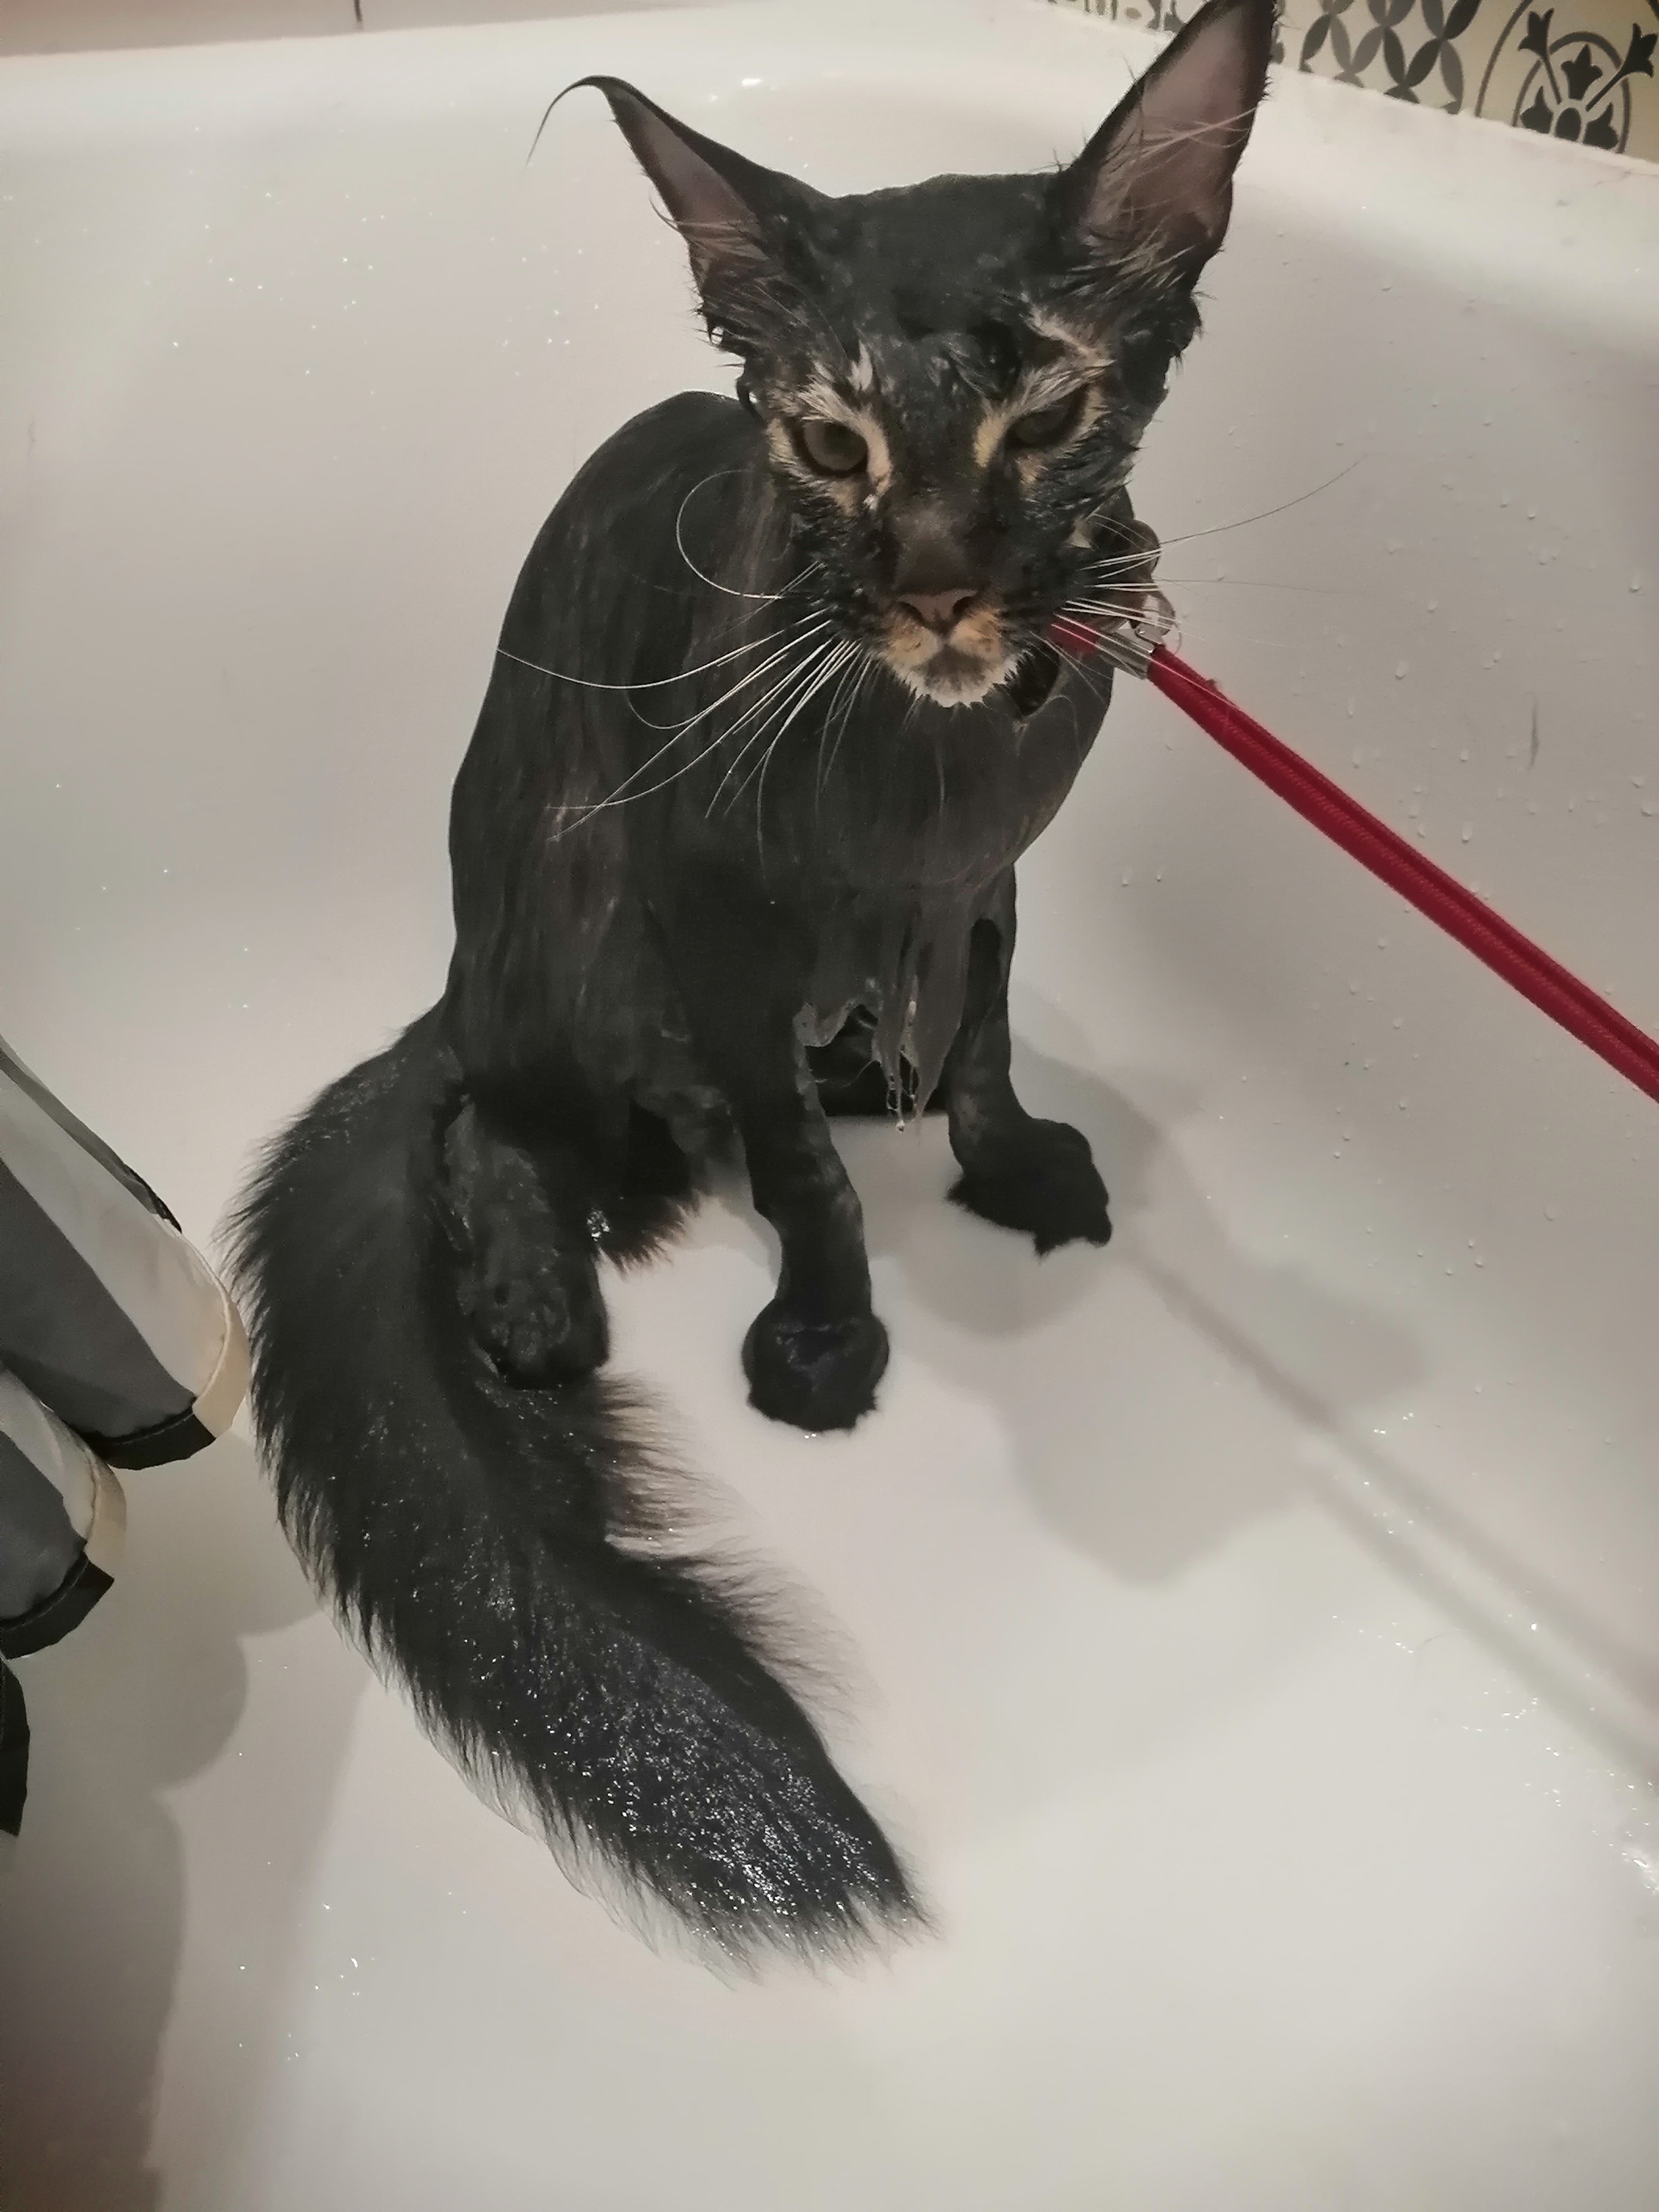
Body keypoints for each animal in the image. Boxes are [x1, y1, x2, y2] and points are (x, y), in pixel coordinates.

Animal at [232, 0, 1274, 1962]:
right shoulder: (715, 904)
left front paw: (999, 1152)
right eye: (830, 442)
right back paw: (535, 1288)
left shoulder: (987, 882)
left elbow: (990, 1034)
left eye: (1047, 417)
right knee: (495, 1114)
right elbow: (800, 1178)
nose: (937, 588)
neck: (939, 764)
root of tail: (459, 974)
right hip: (568, 897)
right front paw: (824, 1329)